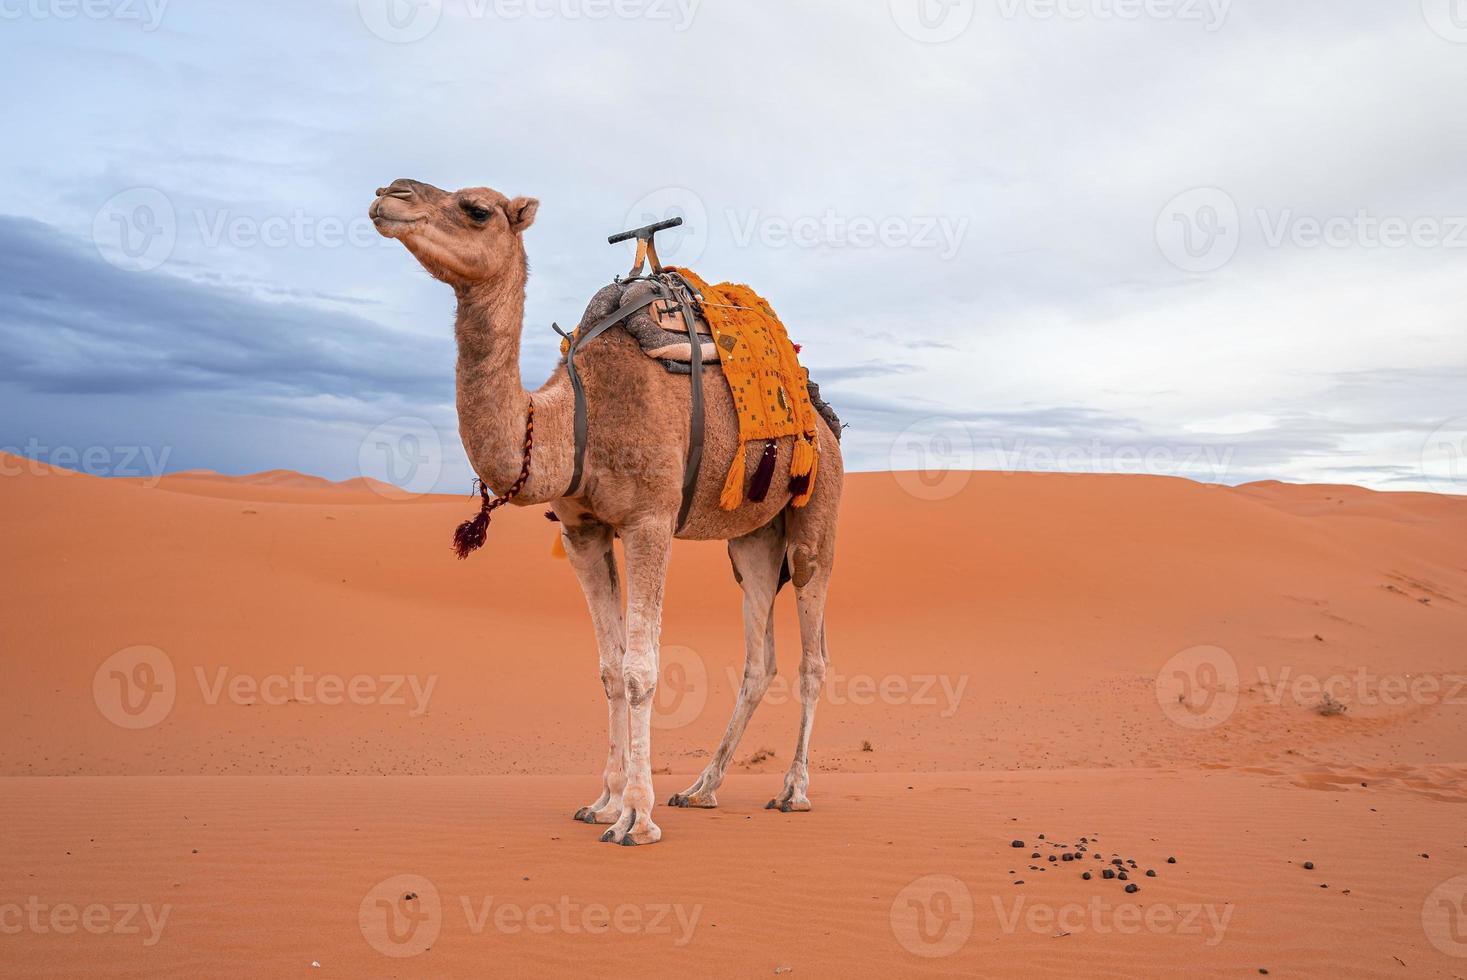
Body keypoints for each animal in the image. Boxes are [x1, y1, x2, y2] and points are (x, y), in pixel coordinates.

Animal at [372, 176, 844, 845]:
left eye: (477, 209)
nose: (390, 193)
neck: (574, 418)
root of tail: (822, 414)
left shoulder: (650, 522)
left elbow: (641, 669)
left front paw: (636, 819)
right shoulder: (583, 531)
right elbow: (608, 669)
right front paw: (603, 801)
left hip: (815, 518)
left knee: (813, 656)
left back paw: (793, 791)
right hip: (752, 538)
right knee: (760, 659)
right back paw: (701, 789)